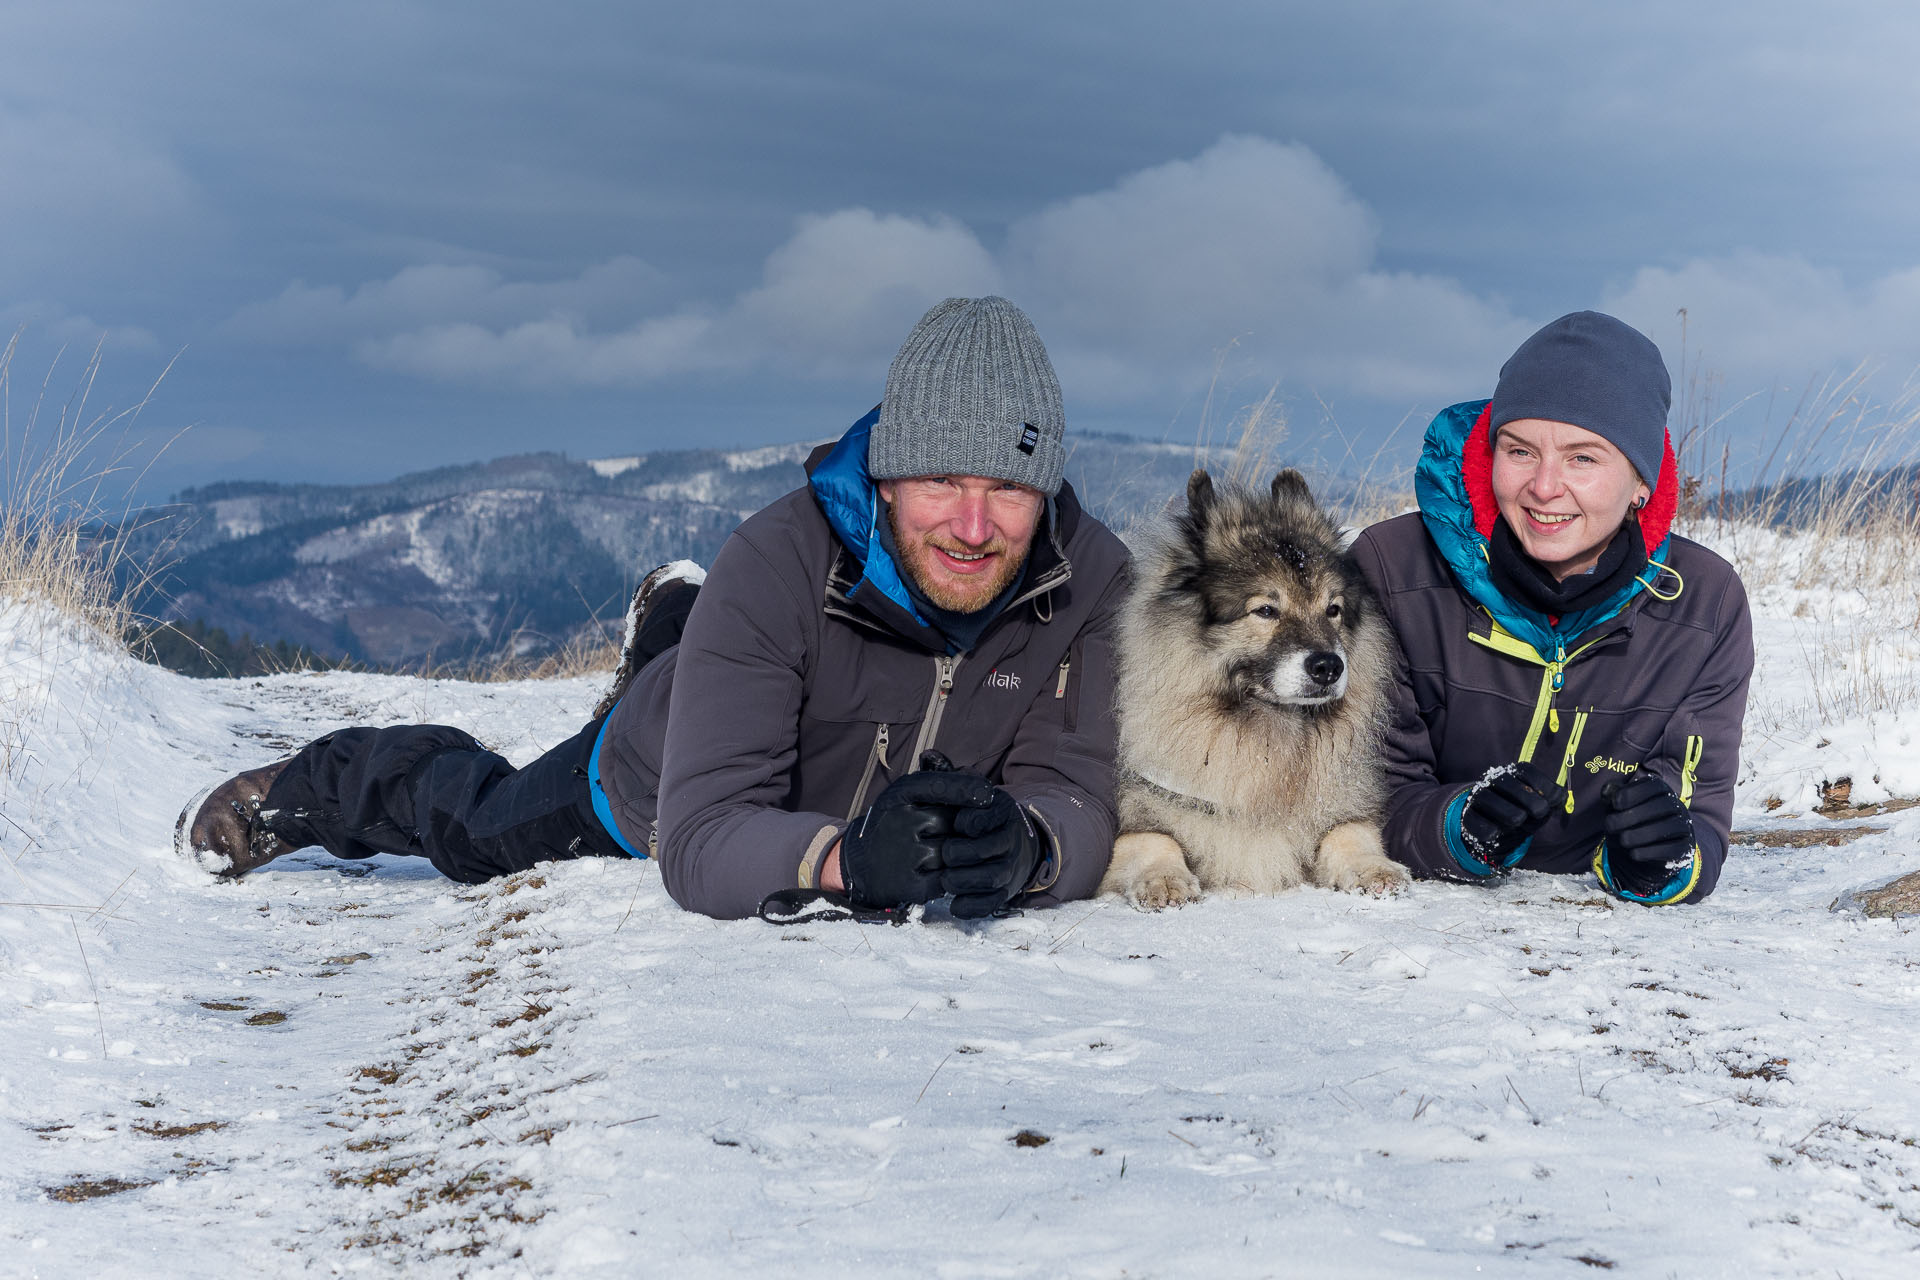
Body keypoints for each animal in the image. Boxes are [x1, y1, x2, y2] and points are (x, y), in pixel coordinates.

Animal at [1098, 470, 1413, 909]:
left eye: (1332, 609)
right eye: (1265, 610)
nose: (1328, 667)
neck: (1266, 730)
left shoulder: (1340, 807)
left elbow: (1349, 833)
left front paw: (1376, 869)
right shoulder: (1137, 808)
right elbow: (1154, 840)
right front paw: (1164, 880)